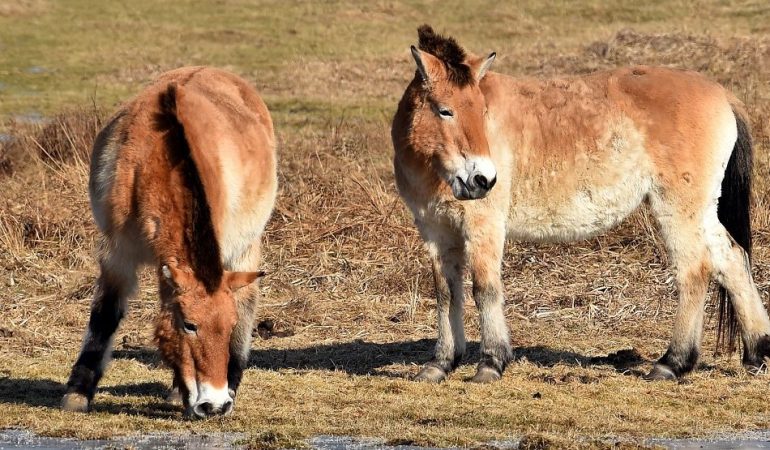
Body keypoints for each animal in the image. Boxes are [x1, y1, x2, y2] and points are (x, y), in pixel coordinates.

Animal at [61, 66, 277, 417]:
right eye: (189, 325)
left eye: (228, 326)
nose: (215, 404)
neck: (156, 161)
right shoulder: (118, 253)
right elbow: (105, 315)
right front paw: (78, 392)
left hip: (245, 247)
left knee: (248, 301)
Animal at [392, 25, 770, 383]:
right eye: (445, 111)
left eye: (482, 111)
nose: (482, 179)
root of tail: (723, 94)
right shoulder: (437, 231)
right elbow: (446, 292)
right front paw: (440, 365)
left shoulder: (483, 227)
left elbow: (485, 289)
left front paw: (491, 364)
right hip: (702, 210)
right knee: (732, 259)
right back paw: (757, 353)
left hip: (678, 209)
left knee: (695, 270)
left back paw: (671, 364)